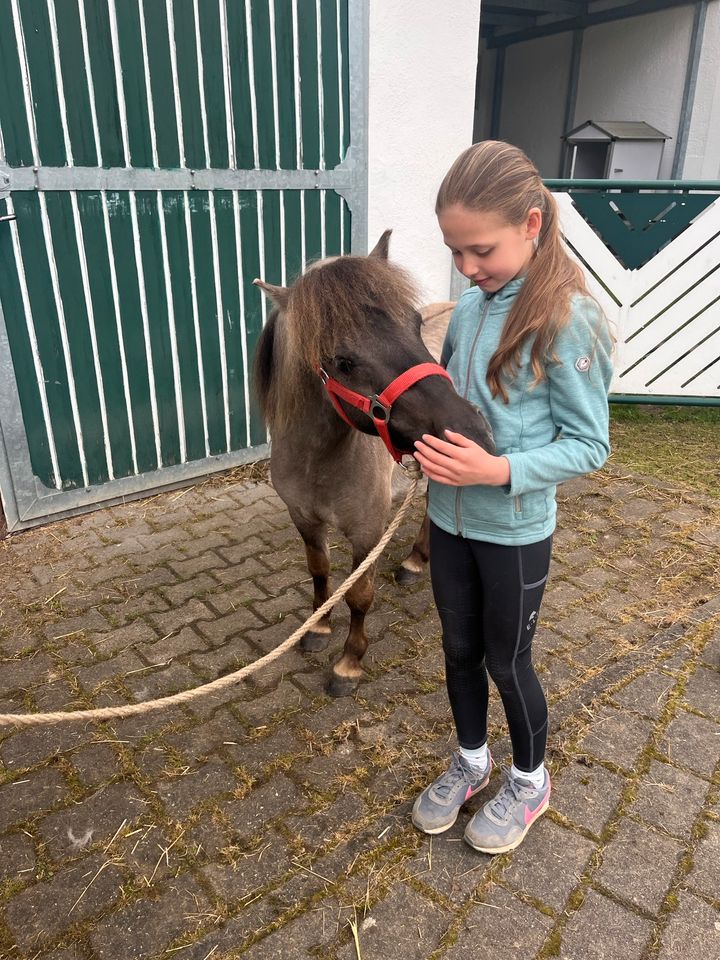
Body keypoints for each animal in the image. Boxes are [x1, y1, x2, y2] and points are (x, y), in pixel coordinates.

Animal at [253, 232, 496, 696]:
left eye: (415, 325)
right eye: (341, 361)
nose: (470, 432)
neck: (319, 460)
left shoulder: (368, 530)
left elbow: (359, 595)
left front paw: (348, 663)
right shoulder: (304, 519)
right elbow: (320, 572)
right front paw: (318, 629)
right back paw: (416, 561)